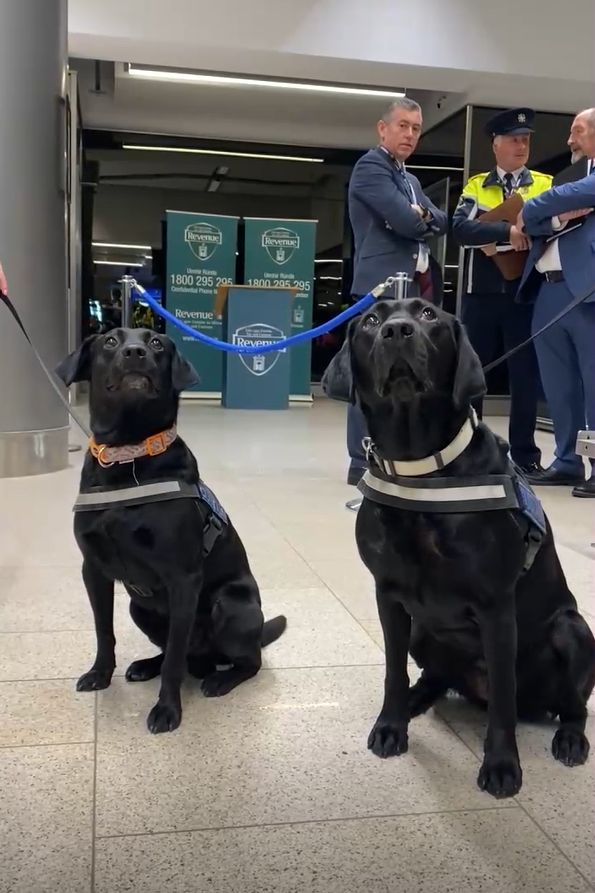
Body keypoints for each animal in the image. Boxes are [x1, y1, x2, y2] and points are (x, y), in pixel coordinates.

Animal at [56, 328, 286, 732]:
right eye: (110, 341)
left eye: (157, 343)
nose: (135, 352)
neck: (129, 457)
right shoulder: (93, 570)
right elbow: (104, 630)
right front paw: (100, 674)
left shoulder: (183, 580)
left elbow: (175, 659)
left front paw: (167, 710)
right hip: (139, 608)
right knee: (174, 652)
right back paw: (147, 665)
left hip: (231, 605)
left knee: (245, 661)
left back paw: (221, 679)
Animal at [326, 298, 595, 796]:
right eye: (371, 321)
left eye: (429, 315)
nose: (397, 331)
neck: (420, 469)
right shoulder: (388, 596)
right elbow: (393, 671)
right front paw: (391, 725)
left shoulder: (496, 608)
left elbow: (504, 703)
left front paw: (502, 765)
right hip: (422, 631)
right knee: (434, 676)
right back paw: (416, 700)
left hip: (574, 631)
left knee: (572, 705)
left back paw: (570, 738)